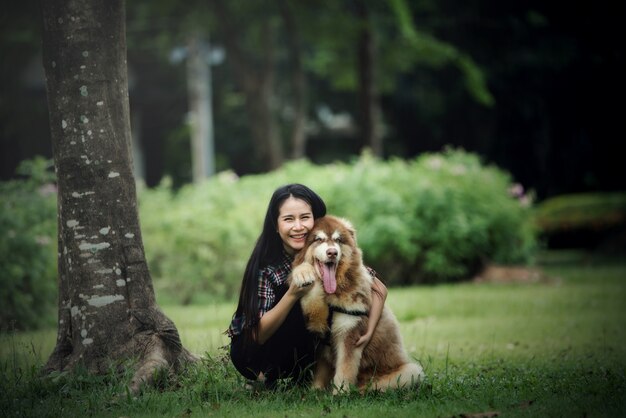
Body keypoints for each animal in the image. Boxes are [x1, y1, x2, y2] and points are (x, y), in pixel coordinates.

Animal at [290, 214, 422, 394]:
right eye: (318, 239)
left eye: (338, 240)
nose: (332, 252)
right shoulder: (318, 328)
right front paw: (303, 273)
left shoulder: (350, 334)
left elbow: (344, 370)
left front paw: (340, 394)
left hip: (412, 371)